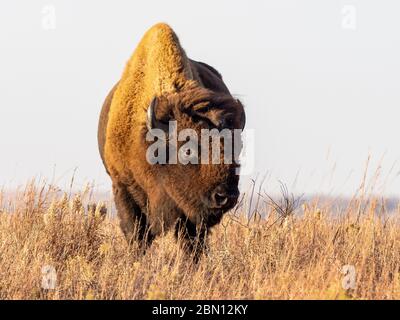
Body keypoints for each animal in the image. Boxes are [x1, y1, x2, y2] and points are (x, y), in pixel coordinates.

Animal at [98, 22, 245, 258]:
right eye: (188, 150)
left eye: (236, 150)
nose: (225, 196)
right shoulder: (122, 185)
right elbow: (136, 235)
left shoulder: (187, 208)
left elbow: (190, 241)